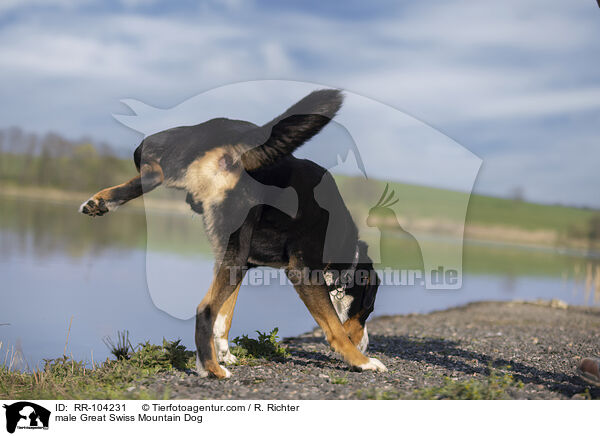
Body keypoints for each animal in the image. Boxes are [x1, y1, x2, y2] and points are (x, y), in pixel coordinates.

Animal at [79, 89, 386, 378]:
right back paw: (212, 370)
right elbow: (335, 328)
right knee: (204, 309)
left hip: (176, 149)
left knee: (148, 164)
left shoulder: (241, 263)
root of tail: (233, 143)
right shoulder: (302, 271)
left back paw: (101, 202)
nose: (366, 344)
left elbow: (225, 315)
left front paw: (224, 351)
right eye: (368, 310)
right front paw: (362, 361)